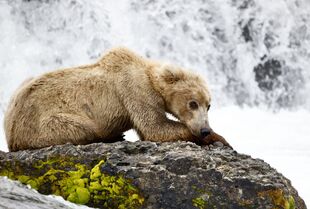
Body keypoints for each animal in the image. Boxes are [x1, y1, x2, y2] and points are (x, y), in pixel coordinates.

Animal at [3, 47, 230, 151]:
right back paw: (110, 136)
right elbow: (154, 127)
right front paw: (220, 139)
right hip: (45, 124)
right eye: (193, 103)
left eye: (208, 105)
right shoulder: (134, 90)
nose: (204, 129)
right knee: (83, 128)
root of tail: (9, 133)